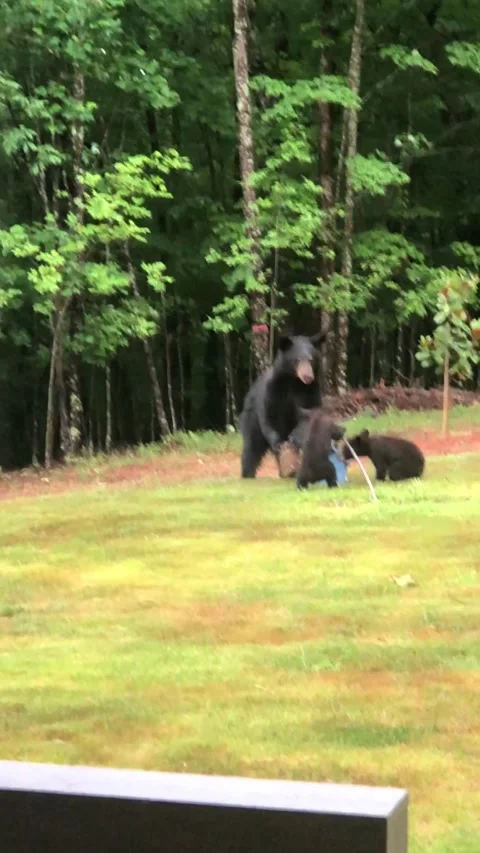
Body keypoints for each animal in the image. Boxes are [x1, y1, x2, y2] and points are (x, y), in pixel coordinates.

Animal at [240, 333, 325, 478]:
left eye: (311, 359)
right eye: (297, 360)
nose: (307, 377)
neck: (293, 382)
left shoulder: (310, 393)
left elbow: (309, 414)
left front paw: (295, 438)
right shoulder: (273, 391)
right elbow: (268, 416)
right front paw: (278, 442)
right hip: (251, 418)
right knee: (251, 447)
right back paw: (248, 474)